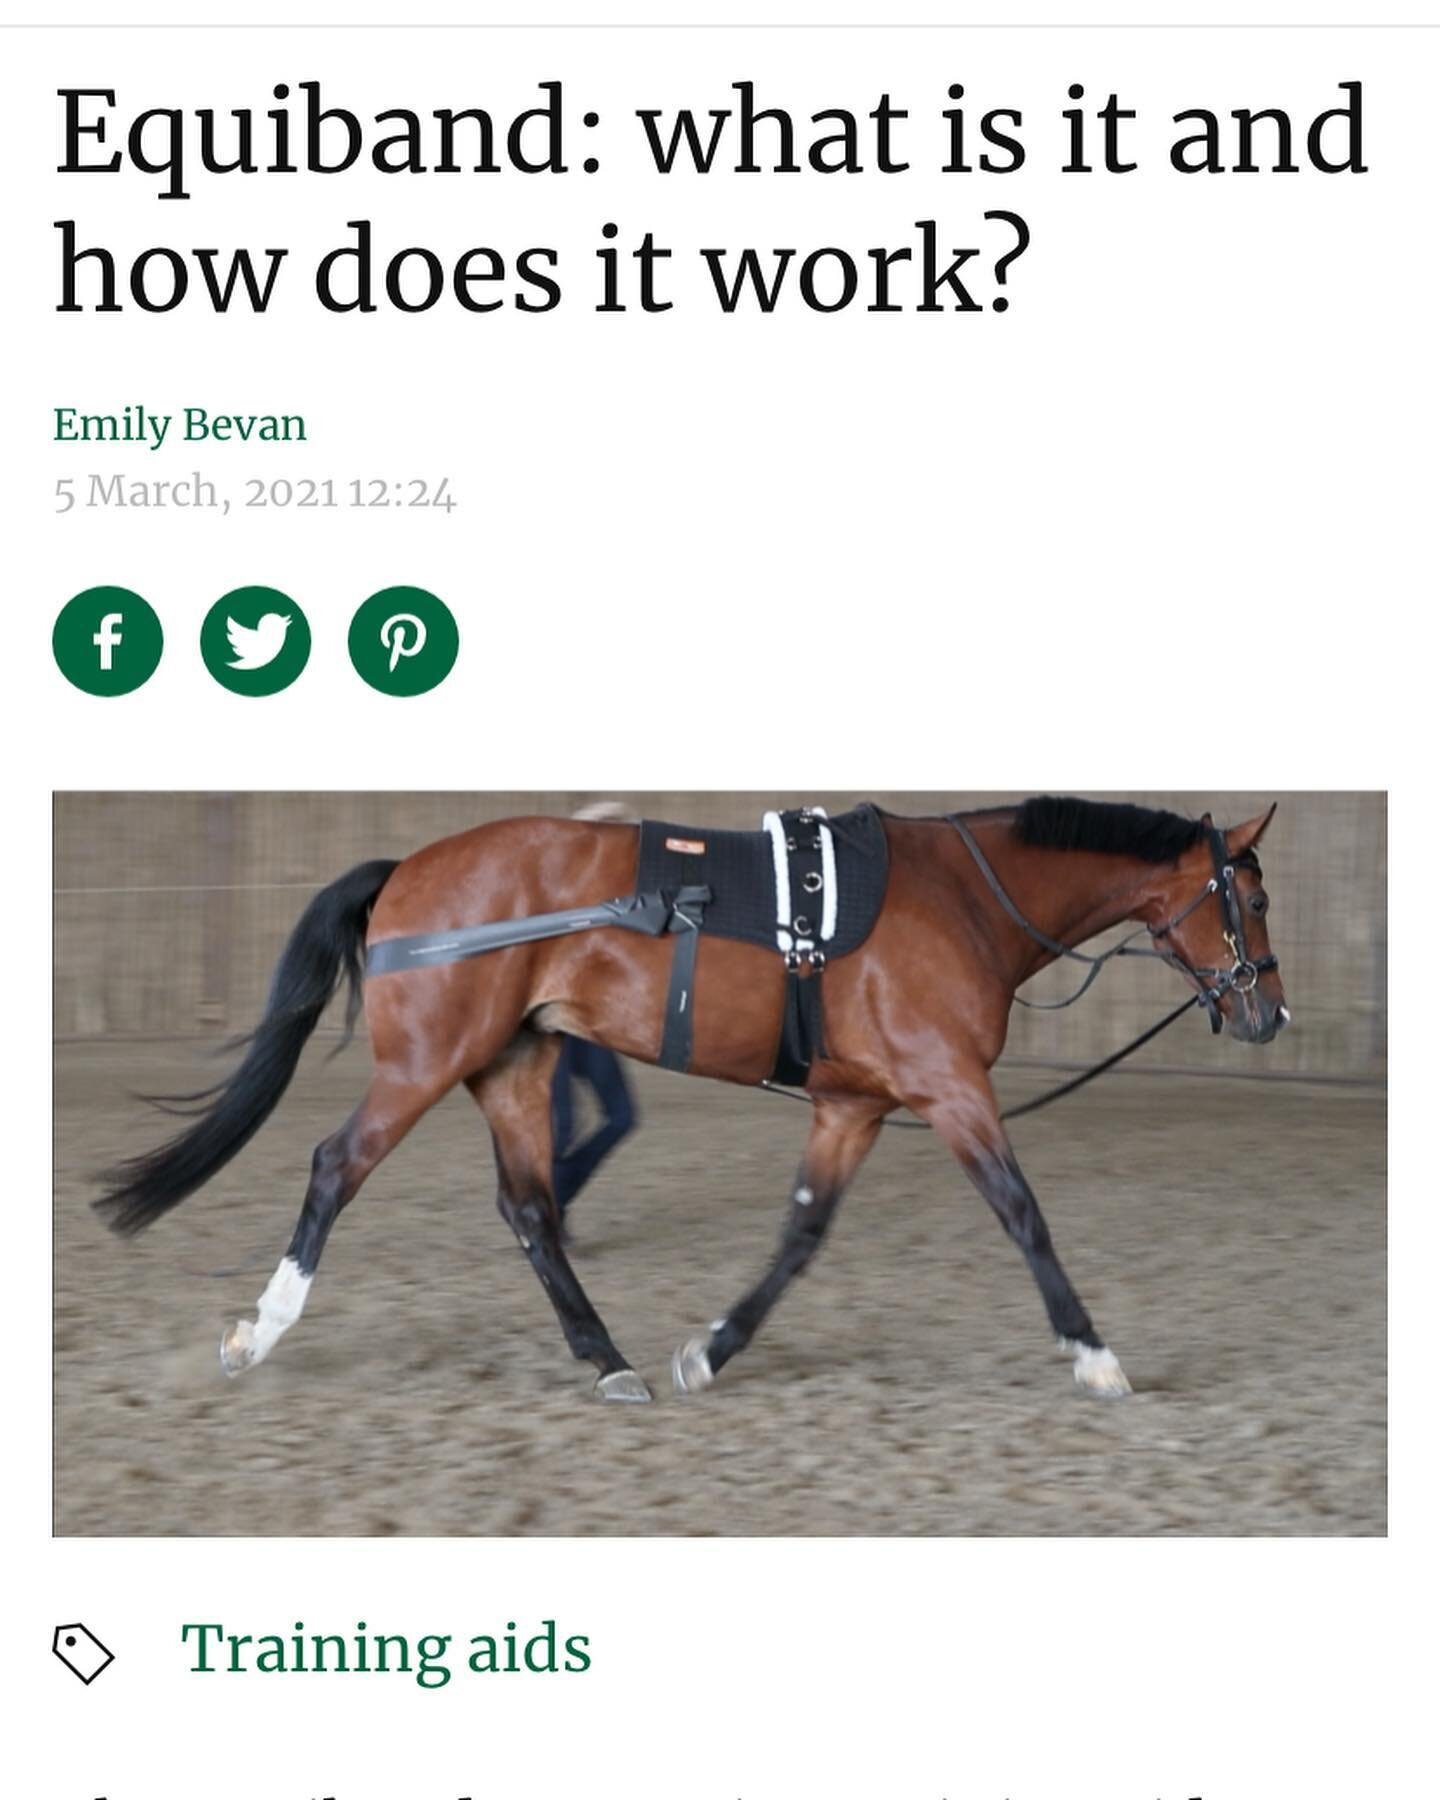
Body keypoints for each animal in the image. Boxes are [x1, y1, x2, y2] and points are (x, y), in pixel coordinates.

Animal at [96, 796, 1288, 1403]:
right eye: (1253, 897)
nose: (1268, 1013)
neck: (960, 897)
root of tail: (409, 871)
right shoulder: (949, 1089)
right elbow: (1024, 1214)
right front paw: (1093, 1353)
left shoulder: (853, 1107)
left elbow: (799, 1238)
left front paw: (710, 1351)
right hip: (426, 1064)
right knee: (336, 1168)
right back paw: (259, 1334)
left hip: (515, 1067)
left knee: (530, 1210)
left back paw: (610, 1359)